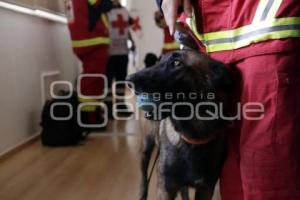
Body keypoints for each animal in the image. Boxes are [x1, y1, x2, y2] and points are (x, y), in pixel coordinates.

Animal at [125, 49, 236, 199]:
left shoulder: (205, 189)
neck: (193, 135)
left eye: (177, 62)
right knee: (143, 174)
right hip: (146, 147)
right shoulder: (165, 189)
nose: (128, 79)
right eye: (159, 62)